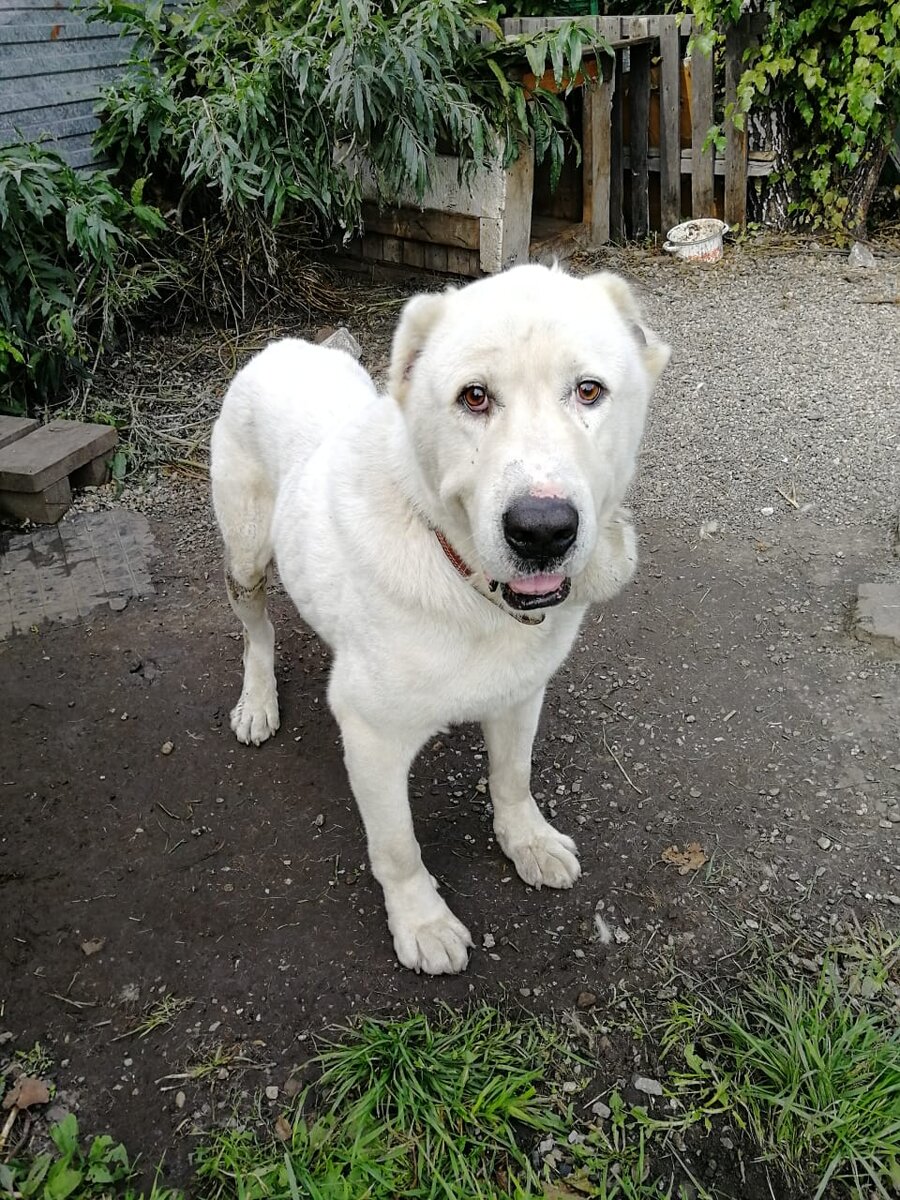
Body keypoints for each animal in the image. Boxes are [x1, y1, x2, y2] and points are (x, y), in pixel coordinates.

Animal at [211, 262, 672, 974]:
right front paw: (421, 921)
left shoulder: (520, 694)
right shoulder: (370, 734)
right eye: (474, 397)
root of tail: (283, 347)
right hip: (247, 555)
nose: (542, 531)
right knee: (256, 631)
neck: (464, 579)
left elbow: (512, 778)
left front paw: (527, 840)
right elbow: (398, 845)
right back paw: (258, 702)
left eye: (589, 391)